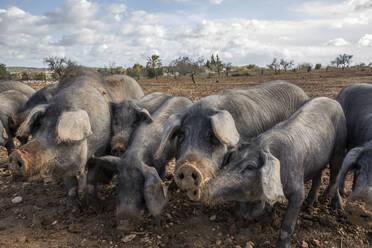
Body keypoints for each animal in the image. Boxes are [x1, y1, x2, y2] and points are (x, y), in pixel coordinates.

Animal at [7, 67, 144, 208]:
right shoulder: (62, 161)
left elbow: (92, 177)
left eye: (59, 136)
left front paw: (93, 205)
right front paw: (72, 208)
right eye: (40, 126)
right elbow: (70, 182)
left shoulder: (99, 150)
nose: (15, 155)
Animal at [198, 97, 346, 248]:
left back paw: (337, 207)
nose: (201, 188)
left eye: (250, 167)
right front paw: (267, 221)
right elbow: (271, 204)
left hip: (339, 147)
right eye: (231, 160)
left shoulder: (298, 191)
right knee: (318, 175)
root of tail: (332, 100)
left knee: (335, 175)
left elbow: (287, 224)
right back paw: (310, 203)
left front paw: (282, 245)